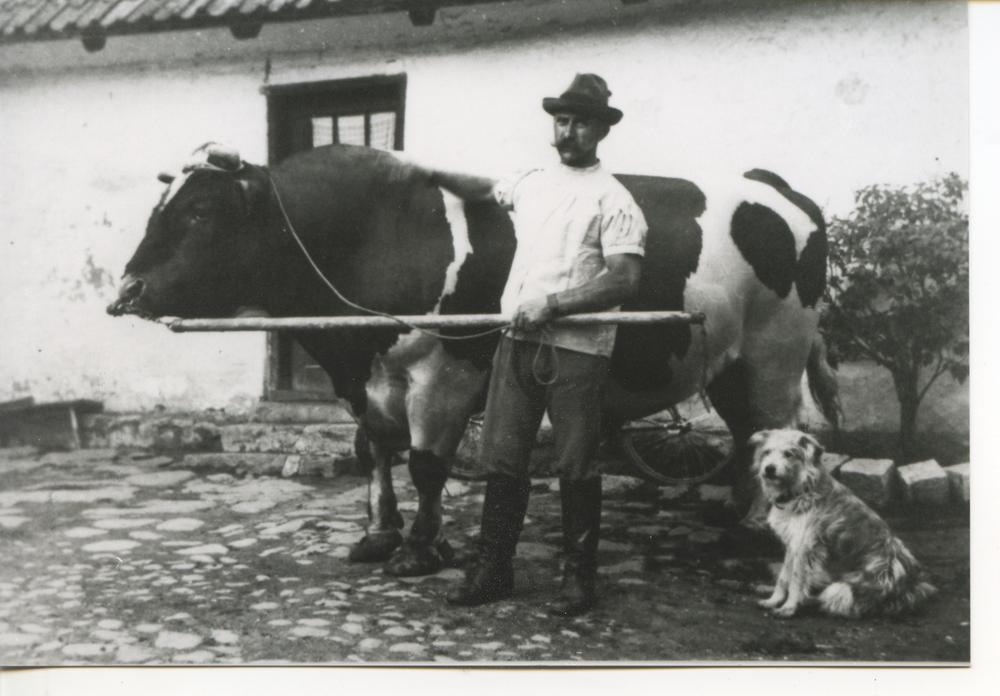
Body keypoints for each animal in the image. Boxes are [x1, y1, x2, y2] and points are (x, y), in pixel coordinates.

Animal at [109, 141, 840, 576]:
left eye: (200, 213)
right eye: (159, 207)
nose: (127, 290)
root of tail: (777, 186)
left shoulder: (443, 373)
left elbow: (427, 463)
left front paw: (423, 546)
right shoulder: (362, 377)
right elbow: (373, 453)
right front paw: (379, 535)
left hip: (775, 354)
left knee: (774, 429)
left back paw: (760, 525)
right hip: (735, 364)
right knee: (748, 434)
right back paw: (739, 514)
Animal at [752, 430, 936, 620]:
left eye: (788, 454)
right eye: (766, 452)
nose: (769, 469)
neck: (802, 489)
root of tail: (912, 587)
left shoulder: (805, 546)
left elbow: (796, 579)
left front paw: (789, 608)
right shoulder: (793, 544)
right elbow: (783, 577)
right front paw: (773, 600)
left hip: (848, 586)